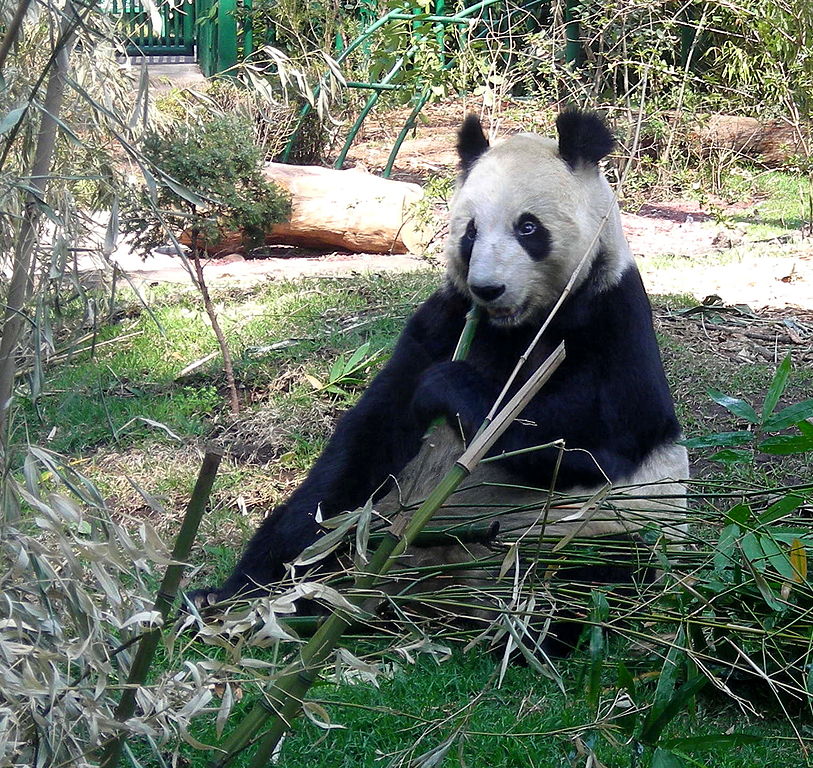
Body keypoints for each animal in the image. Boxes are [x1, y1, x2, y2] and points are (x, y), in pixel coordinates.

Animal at [189, 108, 684, 640]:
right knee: (333, 525)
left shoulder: (612, 320)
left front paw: (447, 388)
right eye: (469, 232)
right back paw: (256, 603)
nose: (488, 288)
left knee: (590, 576)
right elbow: (368, 442)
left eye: (528, 228)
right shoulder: (444, 319)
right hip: (377, 532)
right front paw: (247, 583)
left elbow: (591, 447)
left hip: (600, 532)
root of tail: (437, 599)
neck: (519, 324)